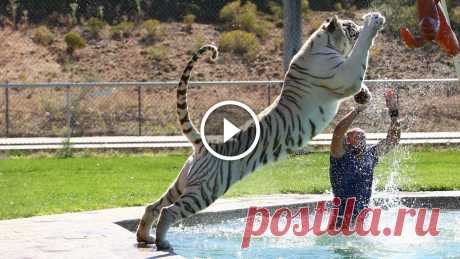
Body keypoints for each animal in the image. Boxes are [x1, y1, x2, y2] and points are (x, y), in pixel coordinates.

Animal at [136, 12, 384, 252]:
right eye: (350, 26)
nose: (357, 25)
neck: (323, 43)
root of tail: (204, 146)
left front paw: (365, 96)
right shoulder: (345, 75)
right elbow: (360, 52)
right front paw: (373, 22)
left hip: (183, 184)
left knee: (153, 206)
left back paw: (145, 237)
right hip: (204, 191)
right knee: (168, 211)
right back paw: (163, 243)